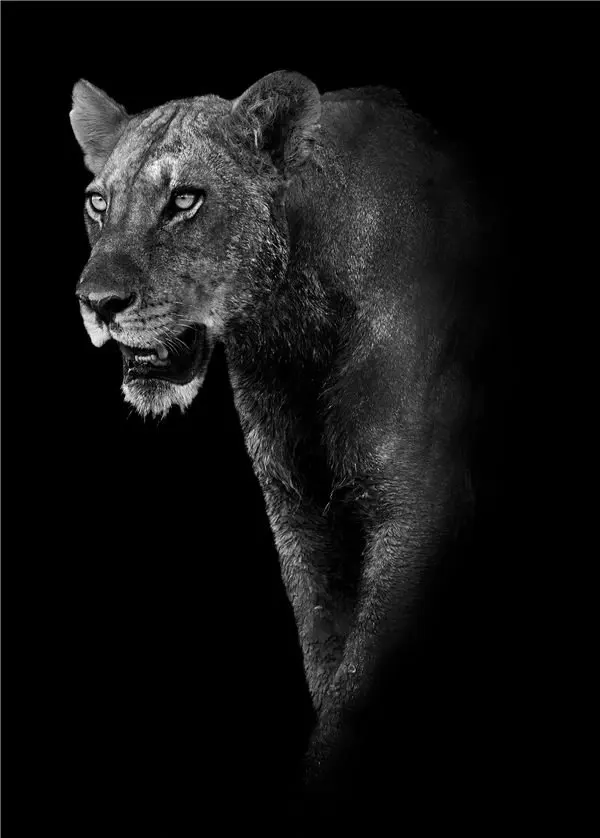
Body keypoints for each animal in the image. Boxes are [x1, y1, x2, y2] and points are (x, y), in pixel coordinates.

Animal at [71, 71, 497, 830]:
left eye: (184, 199)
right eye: (99, 201)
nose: (97, 301)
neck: (290, 332)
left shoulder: (420, 508)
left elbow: (356, 689)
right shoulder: (299, 513)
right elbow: (326, 656)